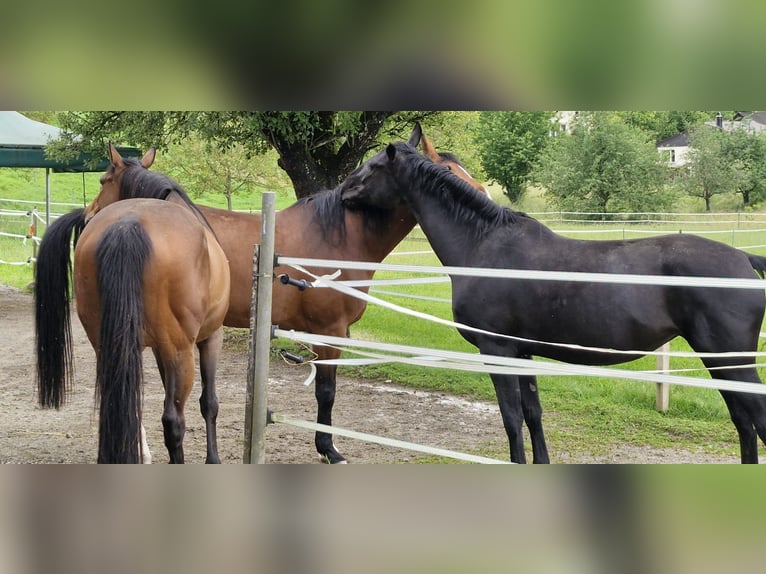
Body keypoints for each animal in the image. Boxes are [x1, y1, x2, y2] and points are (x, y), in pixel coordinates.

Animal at [34, 196, 231, 466]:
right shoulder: (211, 337)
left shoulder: (160, 351)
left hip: (111, 349)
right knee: (173, 419)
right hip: (181, 352)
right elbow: (209, 403)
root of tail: (127, 225)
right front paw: (213, 459)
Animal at [82, 126, 486, 464]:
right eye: (451, 171)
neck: (339, 236)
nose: (88, 212)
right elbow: (326, 392)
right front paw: (328, 449)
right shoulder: (329, 333)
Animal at [340, 142, 766, 466]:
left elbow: (511, 418)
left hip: (729, 360)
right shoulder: (522, 353)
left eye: (374, 167)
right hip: (720, 361)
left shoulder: (497, 350)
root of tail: (745, 259)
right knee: (743, 422)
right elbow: (533, 415)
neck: (483, 245)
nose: (343, 190)